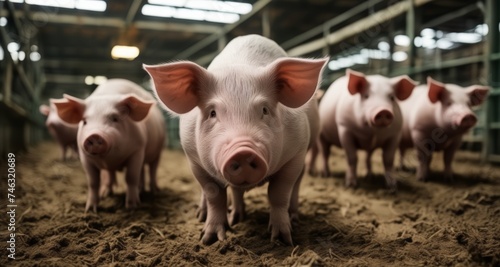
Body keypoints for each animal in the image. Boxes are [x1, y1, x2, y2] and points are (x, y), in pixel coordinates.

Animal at [52, 78, 166, 213]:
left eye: (115, 119)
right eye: (84, 121)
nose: (94, 135)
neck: (109, 158)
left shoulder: (137, 150)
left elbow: (131, 177)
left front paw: (132, 207)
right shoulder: (85, 157)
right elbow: (93, 182)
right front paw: (90, 210)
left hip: (158, 151)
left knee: (153, 169)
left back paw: (155, 191)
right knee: (121, 173)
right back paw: (108, 193)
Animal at [144, 34, 328, 246]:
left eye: (264, 110)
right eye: (212, 113)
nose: (242, 151)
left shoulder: (296, 153)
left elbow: (279, 193)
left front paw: (283, 240)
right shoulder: (194, 159)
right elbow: (214, 196)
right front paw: (209, 240)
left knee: (296, 184)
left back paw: (293, 217)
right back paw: (224, 217)